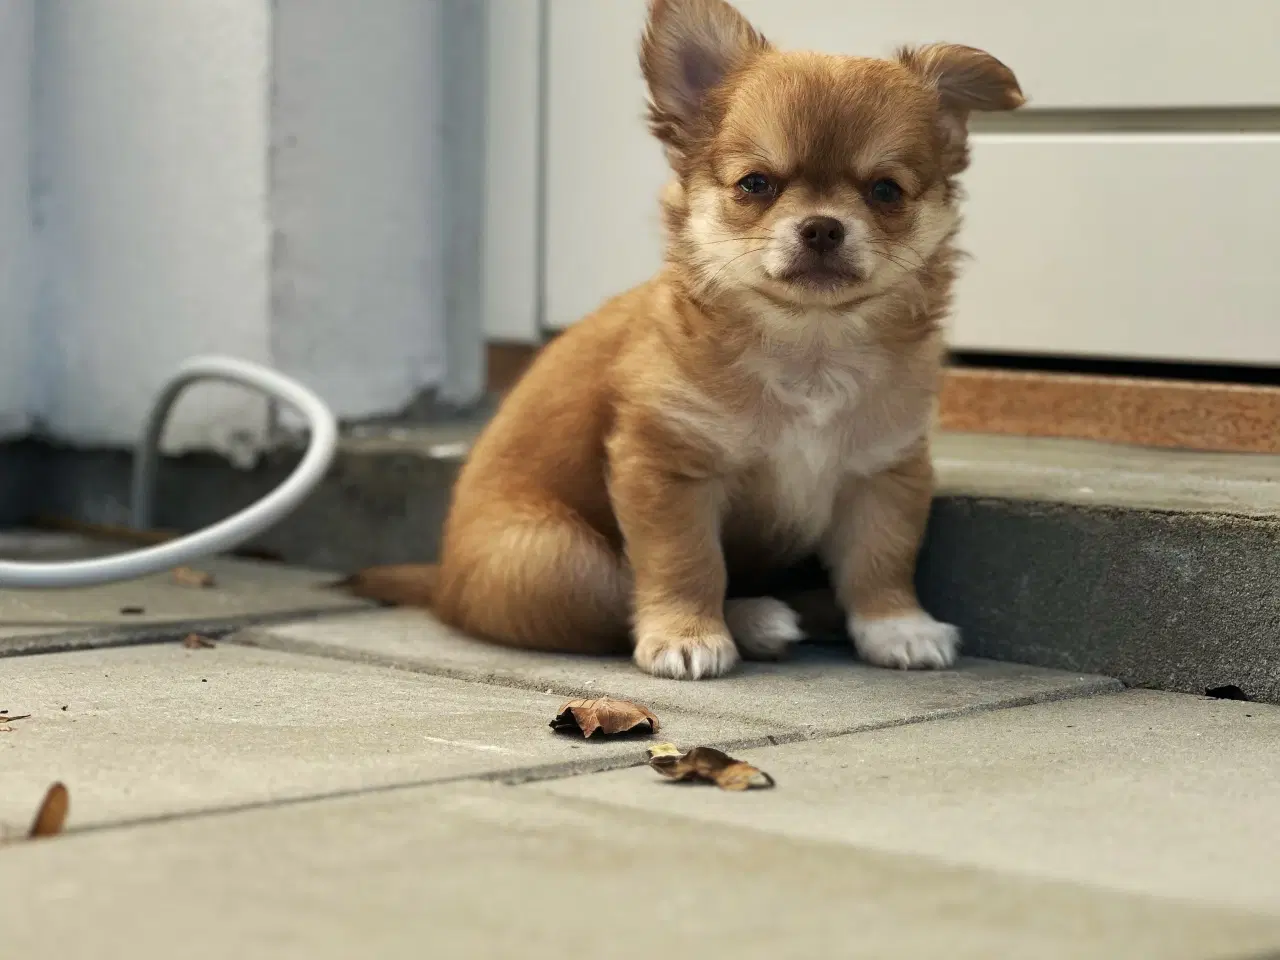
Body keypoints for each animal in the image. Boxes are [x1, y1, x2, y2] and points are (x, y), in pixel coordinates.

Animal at [345, 0, 1024, 686]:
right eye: (756, 184)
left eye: (885, 190)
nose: (823, 227)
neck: (811, 345)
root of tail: (442, 582)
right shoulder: (668, 469)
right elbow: (687, 561)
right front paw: (687, 635)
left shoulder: (885, 472)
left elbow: (882, 558)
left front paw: (896, 626)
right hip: (554, 562)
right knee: (616, 597)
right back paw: (757, 618)